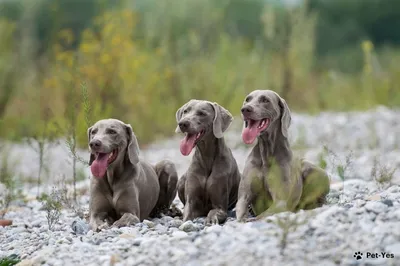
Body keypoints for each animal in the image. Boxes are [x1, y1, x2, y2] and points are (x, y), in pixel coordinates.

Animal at [234, 90, 332, 221]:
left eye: (265, 100)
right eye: (247, 99)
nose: (245, 109)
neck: (266, 153)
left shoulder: (281, 202)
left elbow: (261, 216)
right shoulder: (243, 198)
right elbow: (241, 211)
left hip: (314, 170)